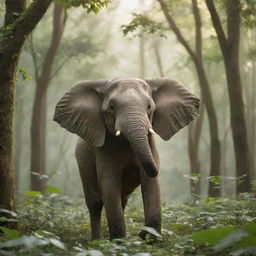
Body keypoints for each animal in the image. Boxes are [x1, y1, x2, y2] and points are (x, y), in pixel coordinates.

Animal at [53, 77, 199, 240]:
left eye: (149, 106)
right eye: (111, 107)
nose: (140, 233)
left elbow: (150, 182)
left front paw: (148, 239)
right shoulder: (104, 149)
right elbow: (109, 183)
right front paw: (120, 241)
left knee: (121, 200)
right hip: (82, 166)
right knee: (94, 204)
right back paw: (96, 241)